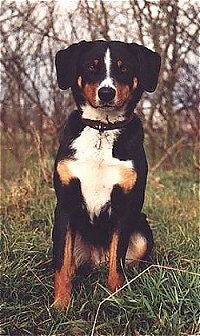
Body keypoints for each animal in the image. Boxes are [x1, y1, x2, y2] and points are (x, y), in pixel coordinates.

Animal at [52, 40, 161, 308]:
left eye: (123, 68)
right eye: (92, 66)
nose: (106, 93)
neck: (102, 130)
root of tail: (96, 258)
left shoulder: (125, 206)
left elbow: (117, 262)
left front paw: (115, 298)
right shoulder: (66, 204)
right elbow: (61, 263)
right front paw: (61, 304)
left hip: (142, 230)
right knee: (70, 263)